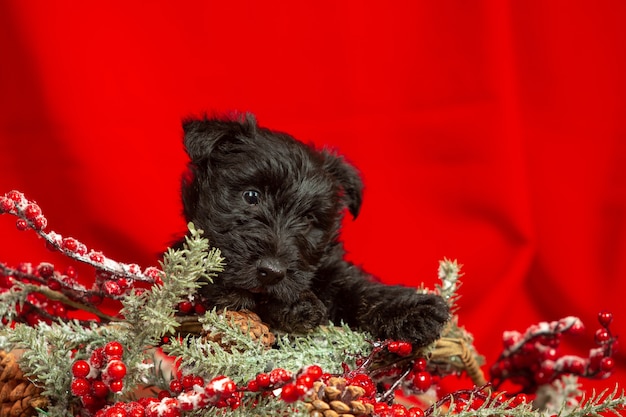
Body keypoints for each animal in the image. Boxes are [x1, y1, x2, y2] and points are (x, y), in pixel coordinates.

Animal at [180, 112, 448, 346]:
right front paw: (299, 304)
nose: (272, 272)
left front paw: (414, 310)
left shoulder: (334, 269)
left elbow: (360, 288)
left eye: (308, 219)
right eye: (251, 196)